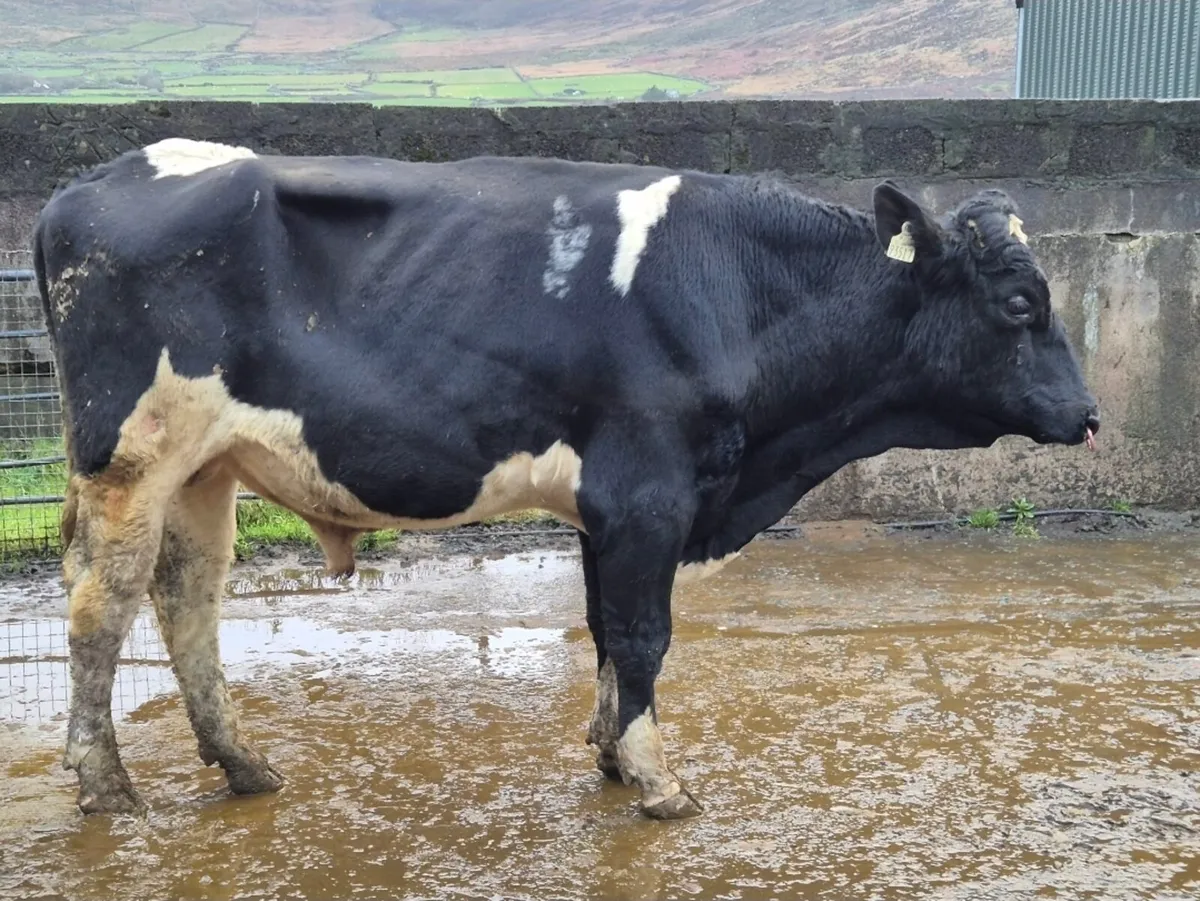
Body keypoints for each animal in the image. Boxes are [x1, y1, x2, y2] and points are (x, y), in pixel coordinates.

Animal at [33, 136, 1099, 822]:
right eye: (1019, 303)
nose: (1088, 414)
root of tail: (87, 185)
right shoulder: (647, 490)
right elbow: (643, 632)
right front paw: (659, 778)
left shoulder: (608, 505)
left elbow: (604, 629)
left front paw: (613, 754)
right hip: (133, 456)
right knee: (99, 610)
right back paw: (107, 787)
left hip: (205, 467)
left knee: (187, 600)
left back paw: (243, 765)